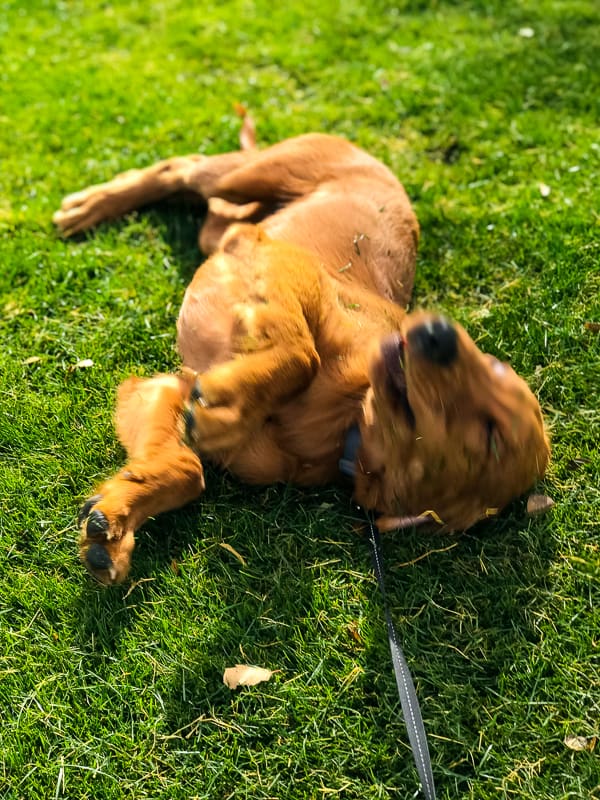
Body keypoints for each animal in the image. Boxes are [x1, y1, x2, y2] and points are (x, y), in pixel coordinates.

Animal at [54, 120, 552, 580]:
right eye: (494, 366)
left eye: (491, 436)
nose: (440, 331)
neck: (343, 419)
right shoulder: (277, 259)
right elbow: (301, 355)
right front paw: (230, 410)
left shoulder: (163, 388)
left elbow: (187, 469)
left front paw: (115, 523)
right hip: (249, 177)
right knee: (183, 167)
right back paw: (87, 206)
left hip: (222, 225)